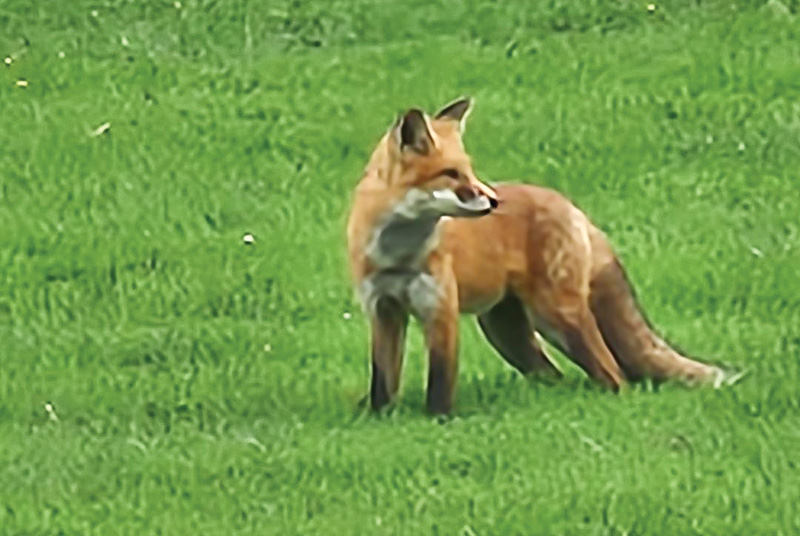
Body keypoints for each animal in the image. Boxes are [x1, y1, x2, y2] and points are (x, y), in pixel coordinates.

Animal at [346, 97, 727, 414]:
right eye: (451, 174)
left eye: (469, 171)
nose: (494, 200)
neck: (398, 256)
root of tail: (571, 206)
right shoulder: (382, 310)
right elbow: (382, 380)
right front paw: (381, 418)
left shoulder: (440, 309)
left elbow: (440, 380)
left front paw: (440, 420)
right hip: (506, 332)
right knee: (554, 373)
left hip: (557, 316)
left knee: (614, 372)